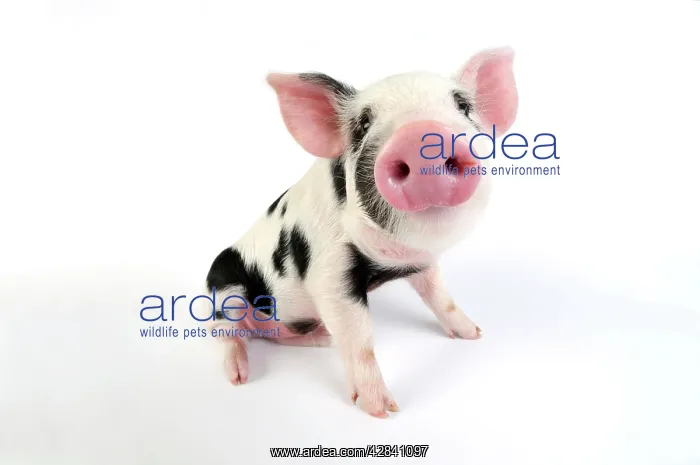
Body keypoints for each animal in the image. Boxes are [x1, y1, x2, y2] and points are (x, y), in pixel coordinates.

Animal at [200, 47, 518, 418]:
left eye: (463, 105)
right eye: (363, 123)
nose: (421, 138)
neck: (395, 256)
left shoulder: (422, 262)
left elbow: (440, 297)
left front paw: (475, 334)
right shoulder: (329, 273)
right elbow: (359, 338)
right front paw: (383, 410)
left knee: (277, 336)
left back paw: (320, 337)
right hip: (224, 291)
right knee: (228, 334)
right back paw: (239, 376)